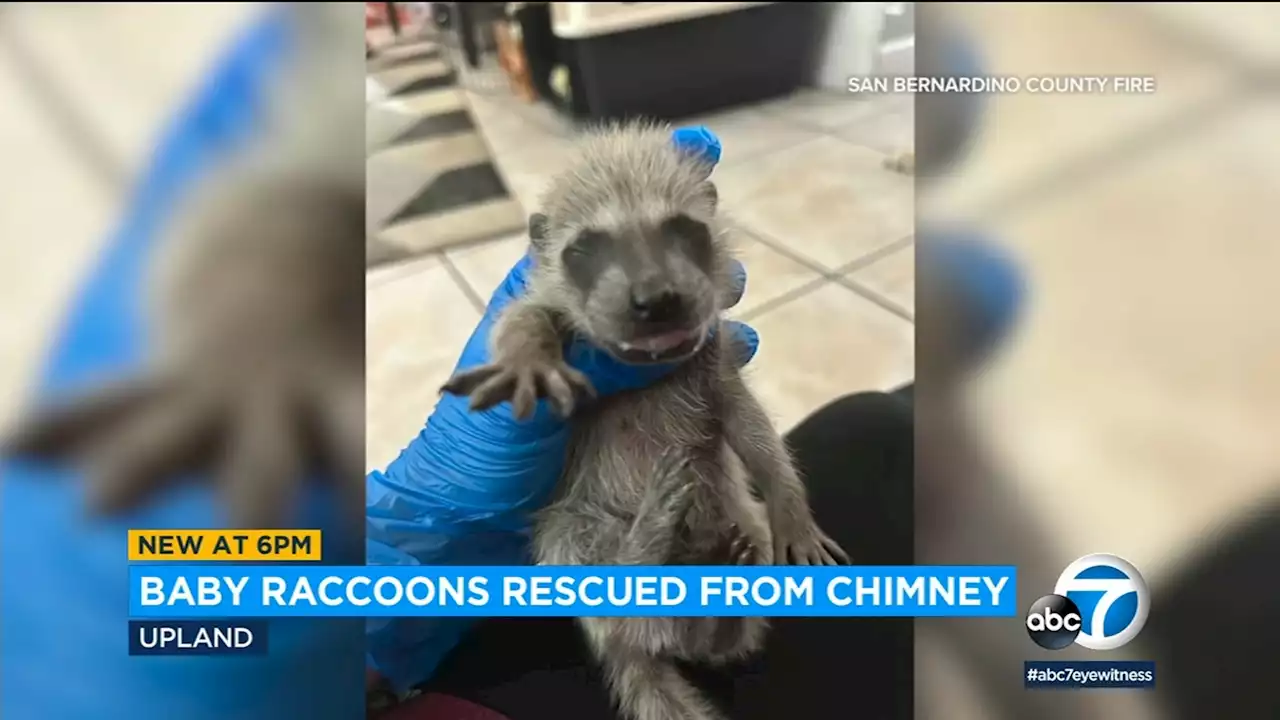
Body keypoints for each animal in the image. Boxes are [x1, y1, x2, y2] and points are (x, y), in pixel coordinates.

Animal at [440, 122, 849, 717]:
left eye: (683, 229)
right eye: (585, 248)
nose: (656, 299)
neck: (647, 367)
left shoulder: (714, 363)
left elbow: (753, 431)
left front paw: (789, 504)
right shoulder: (547, 307)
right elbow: (523, 316)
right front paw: (528, 353)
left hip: (734, 518)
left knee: (717, 599)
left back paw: (718, 617)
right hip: (574, 531)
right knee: (589, 570)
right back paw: (644, 550)